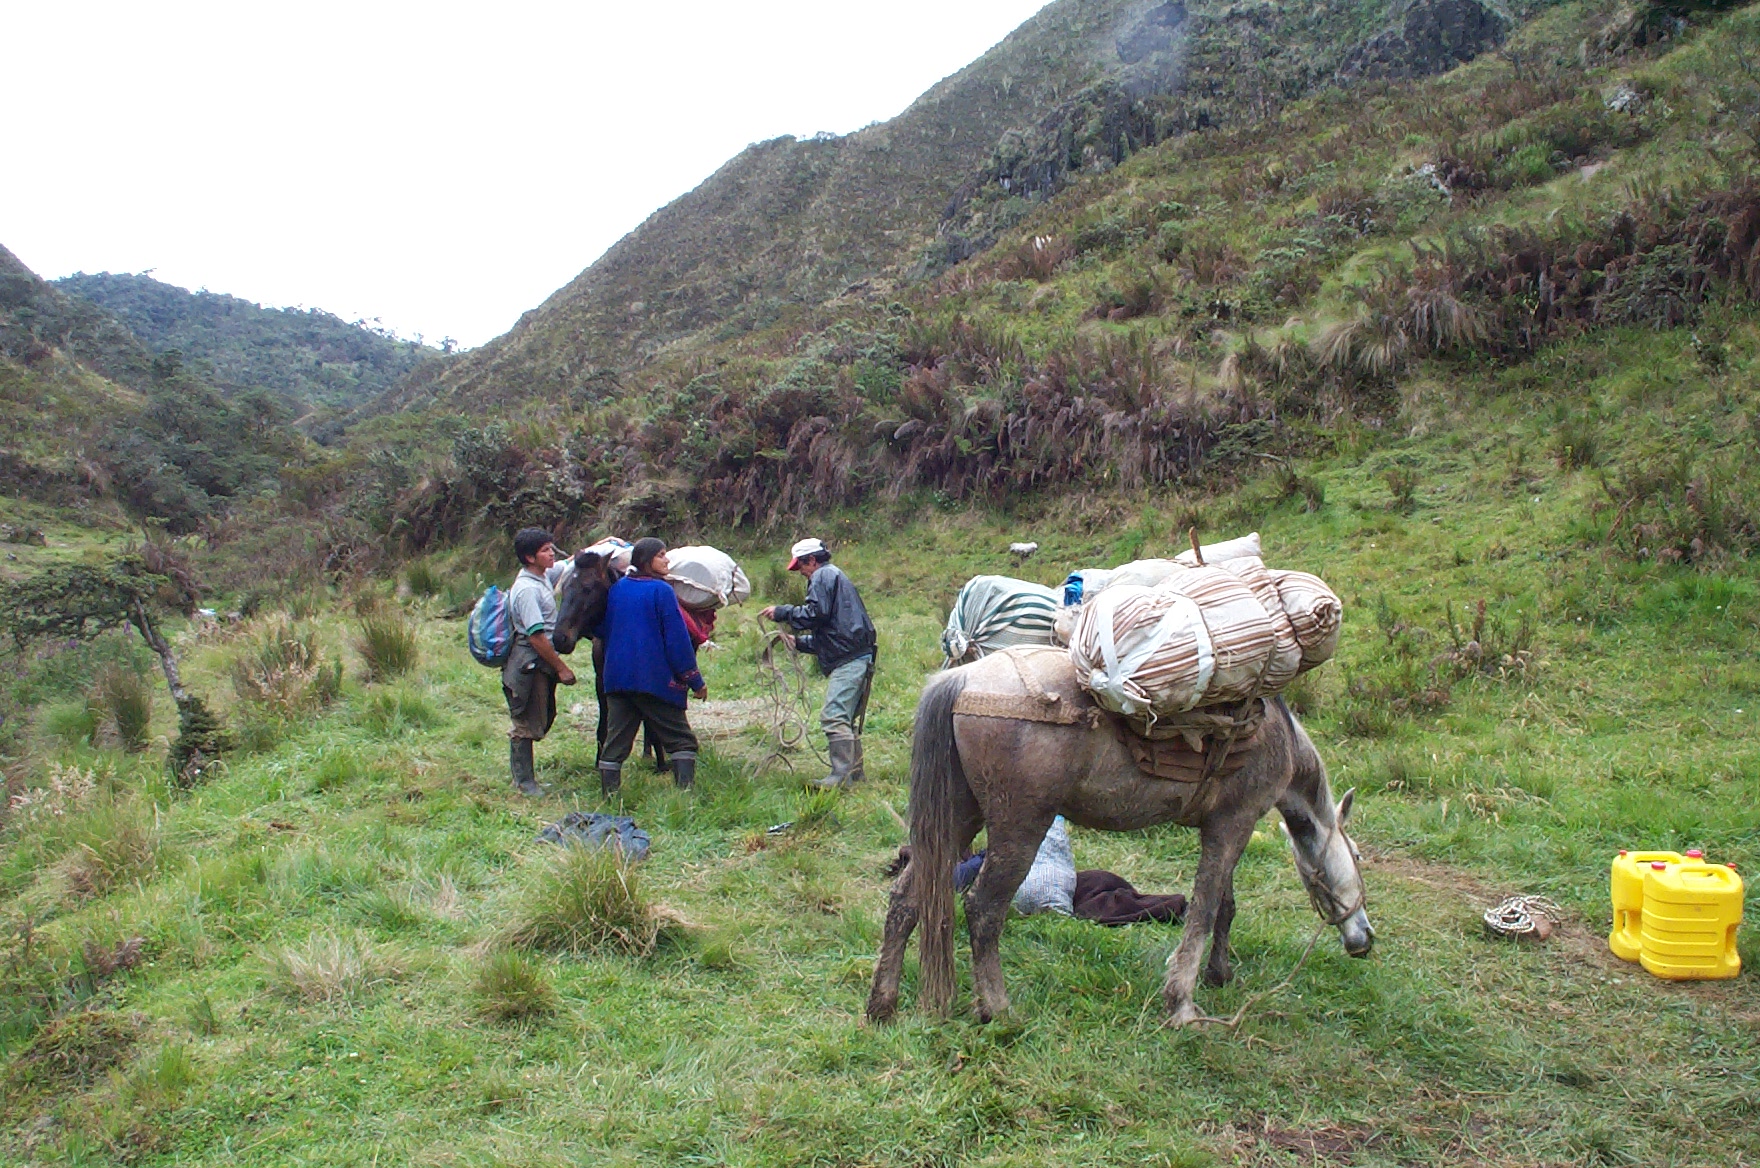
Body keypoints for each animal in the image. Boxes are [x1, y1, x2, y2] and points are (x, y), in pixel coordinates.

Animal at [866, 647, 1373, 1027]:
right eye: (1356, 854)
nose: (1364, 939)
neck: (1277, 736)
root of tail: (963, 678)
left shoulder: (1224, 827)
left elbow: (1225, 907)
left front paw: (1220, 974)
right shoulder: (1234, 825)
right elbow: (1205, 911)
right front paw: (1182, 1005)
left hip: (957, 820)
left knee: (907, 899)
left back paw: (882, 1005)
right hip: (1018, 828)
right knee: (983, 908)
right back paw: (998, 1010)